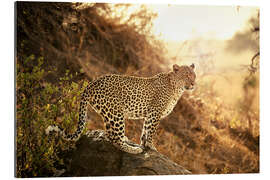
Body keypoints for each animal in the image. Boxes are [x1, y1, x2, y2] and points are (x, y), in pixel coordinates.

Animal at [46, 63, 196, 153]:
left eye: (194, 75)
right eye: (187, 75)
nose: (194, 84)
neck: (177, 89)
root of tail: (90, 84)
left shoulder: (149, 114)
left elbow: (145, 130)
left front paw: (144, 144)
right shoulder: (155, 112)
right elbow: (151, 131)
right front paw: (151, 146)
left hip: (109, 115)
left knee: (110, 135)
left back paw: (129, 141)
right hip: (116, 113)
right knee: (115, 139)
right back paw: (133, 149)